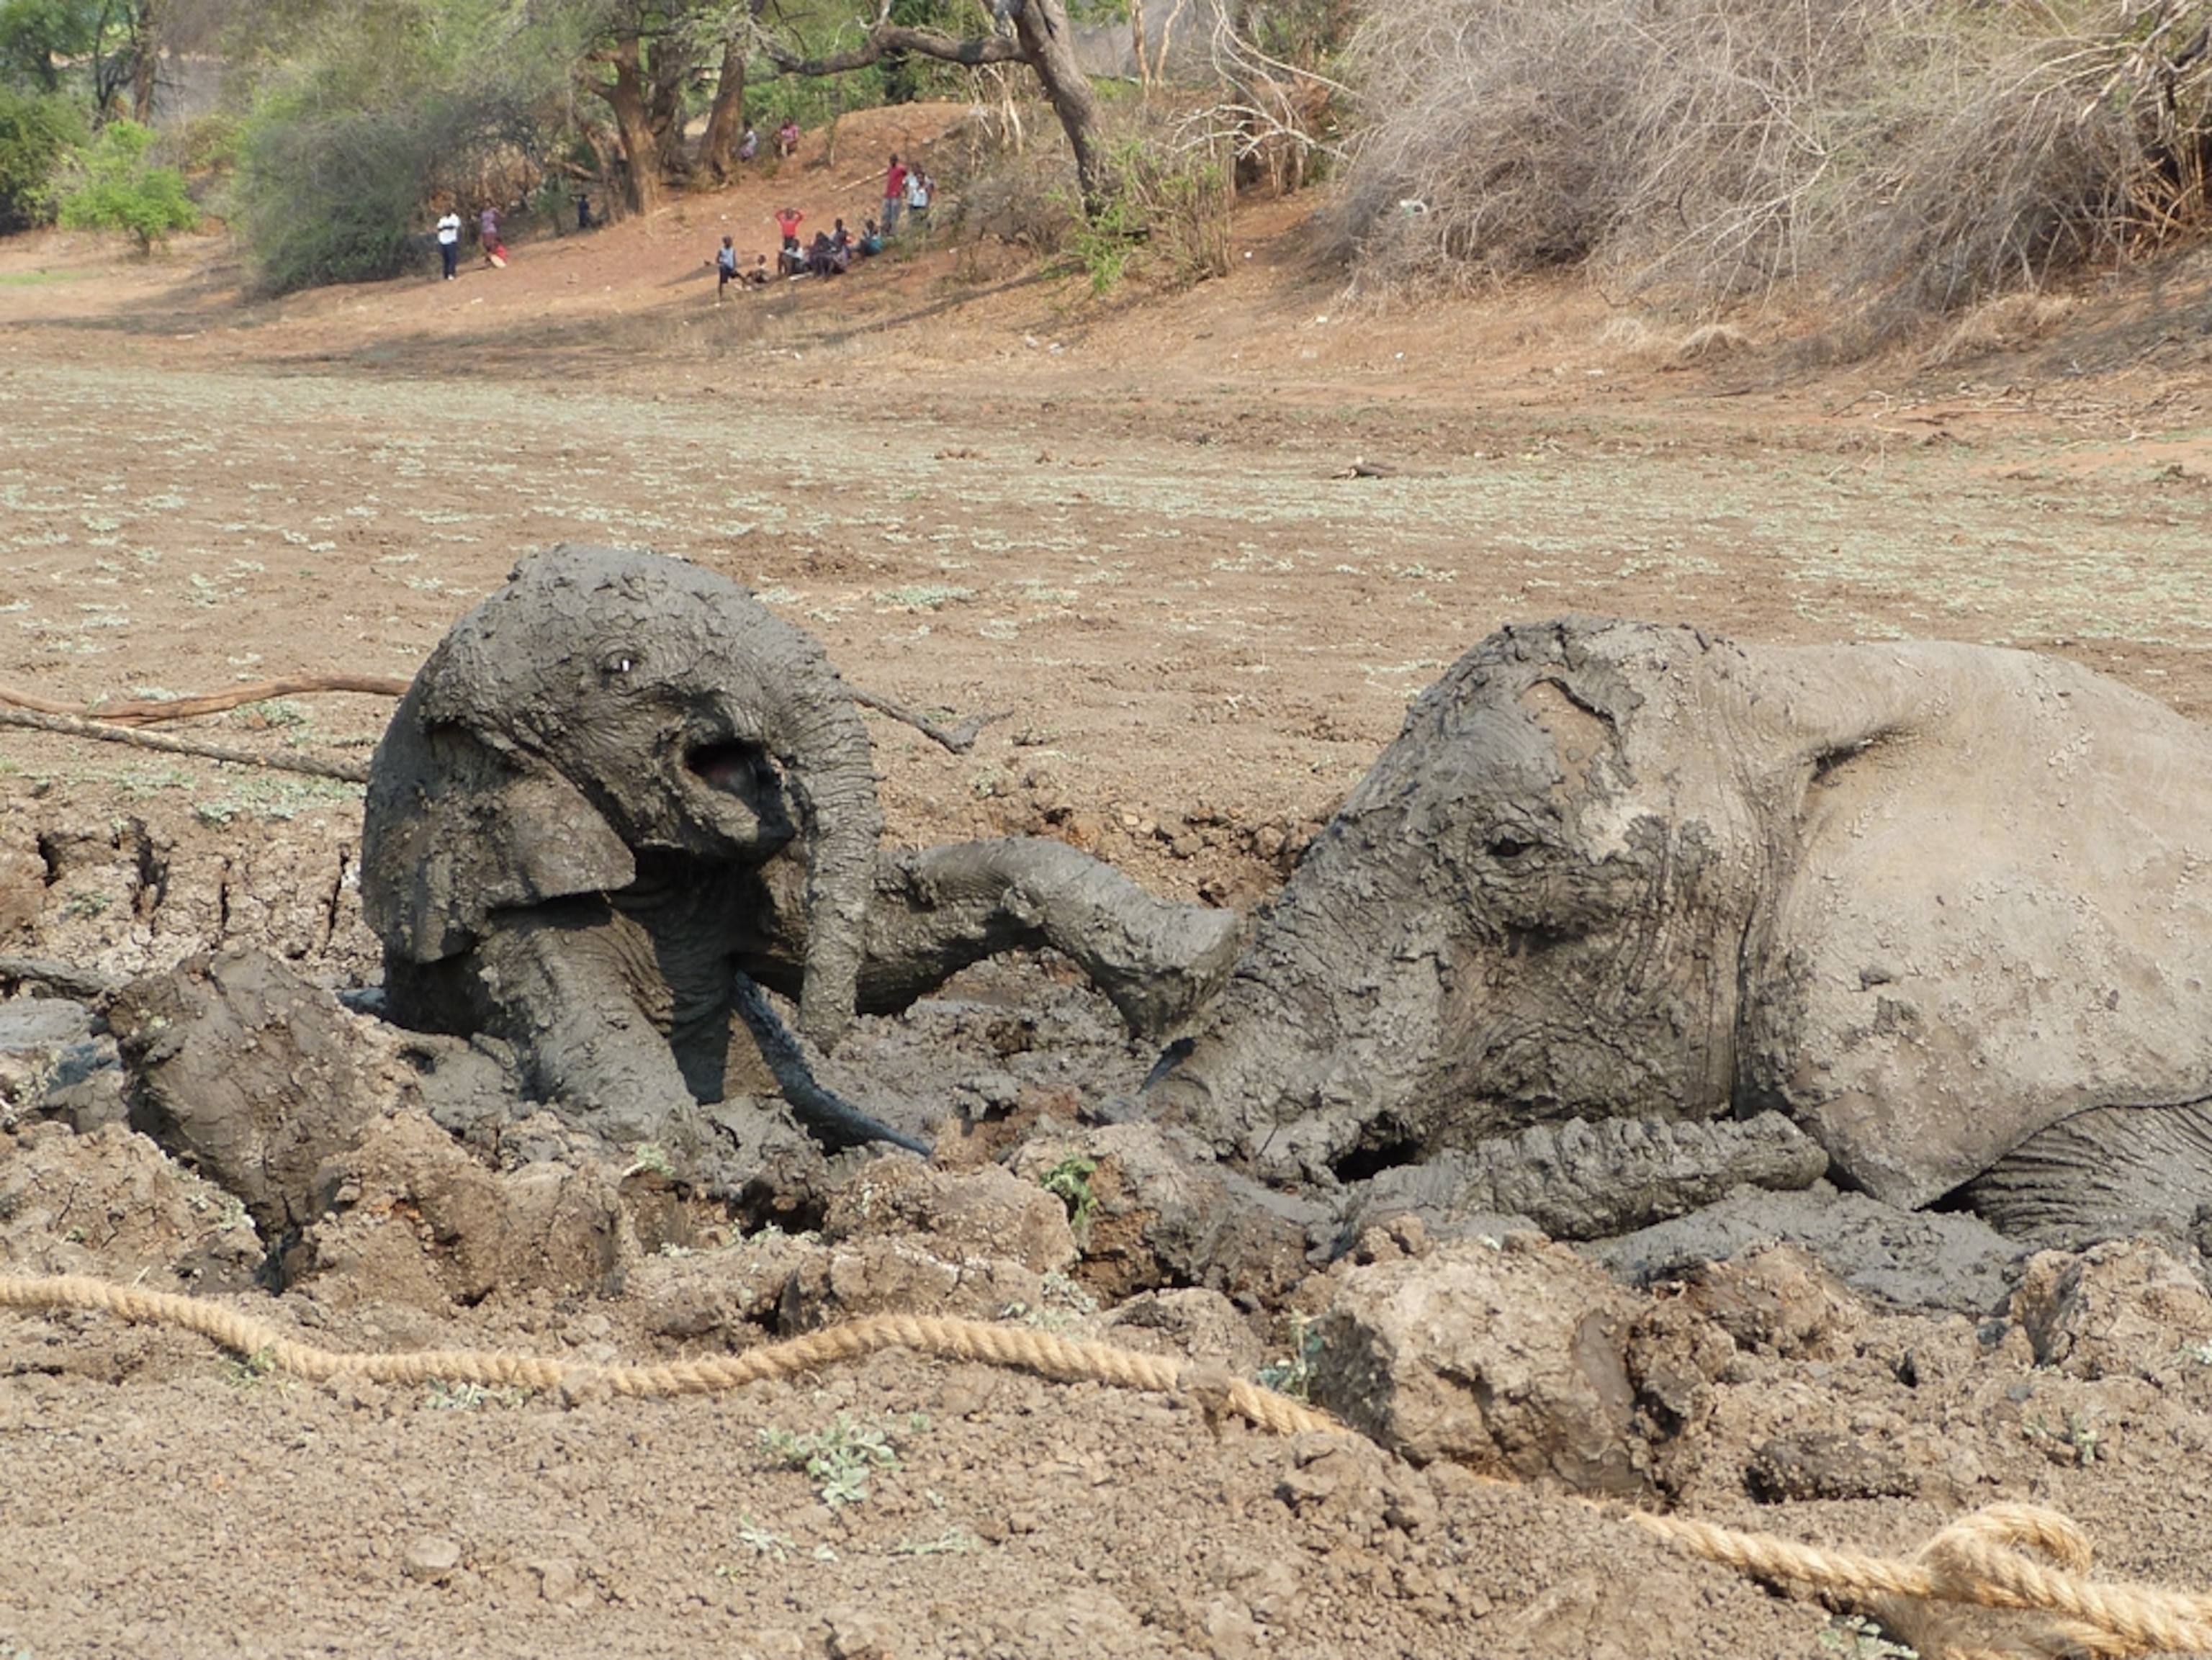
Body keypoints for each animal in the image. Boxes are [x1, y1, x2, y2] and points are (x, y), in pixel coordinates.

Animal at [361, 544, 1239, 1167]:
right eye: (620, 666)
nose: (826, 1038)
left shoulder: (732, 874)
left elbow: (889, 947)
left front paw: (1203, 957)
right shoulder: (520, 920)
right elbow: (618, 1078)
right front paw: (729, 1153)